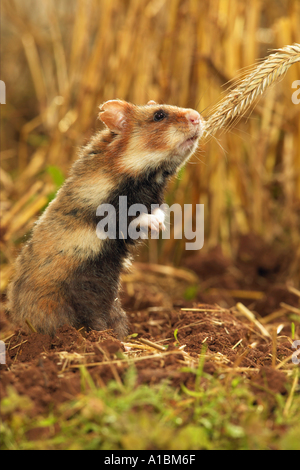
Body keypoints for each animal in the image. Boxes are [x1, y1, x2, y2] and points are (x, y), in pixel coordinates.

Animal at [7, 99, 204, 338]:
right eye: (159, 115)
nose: (197, 116)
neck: (149, 176)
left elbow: (155, 211)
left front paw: (160, 225)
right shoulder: (107, 214)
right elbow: (132, 219)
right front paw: (155, 225)